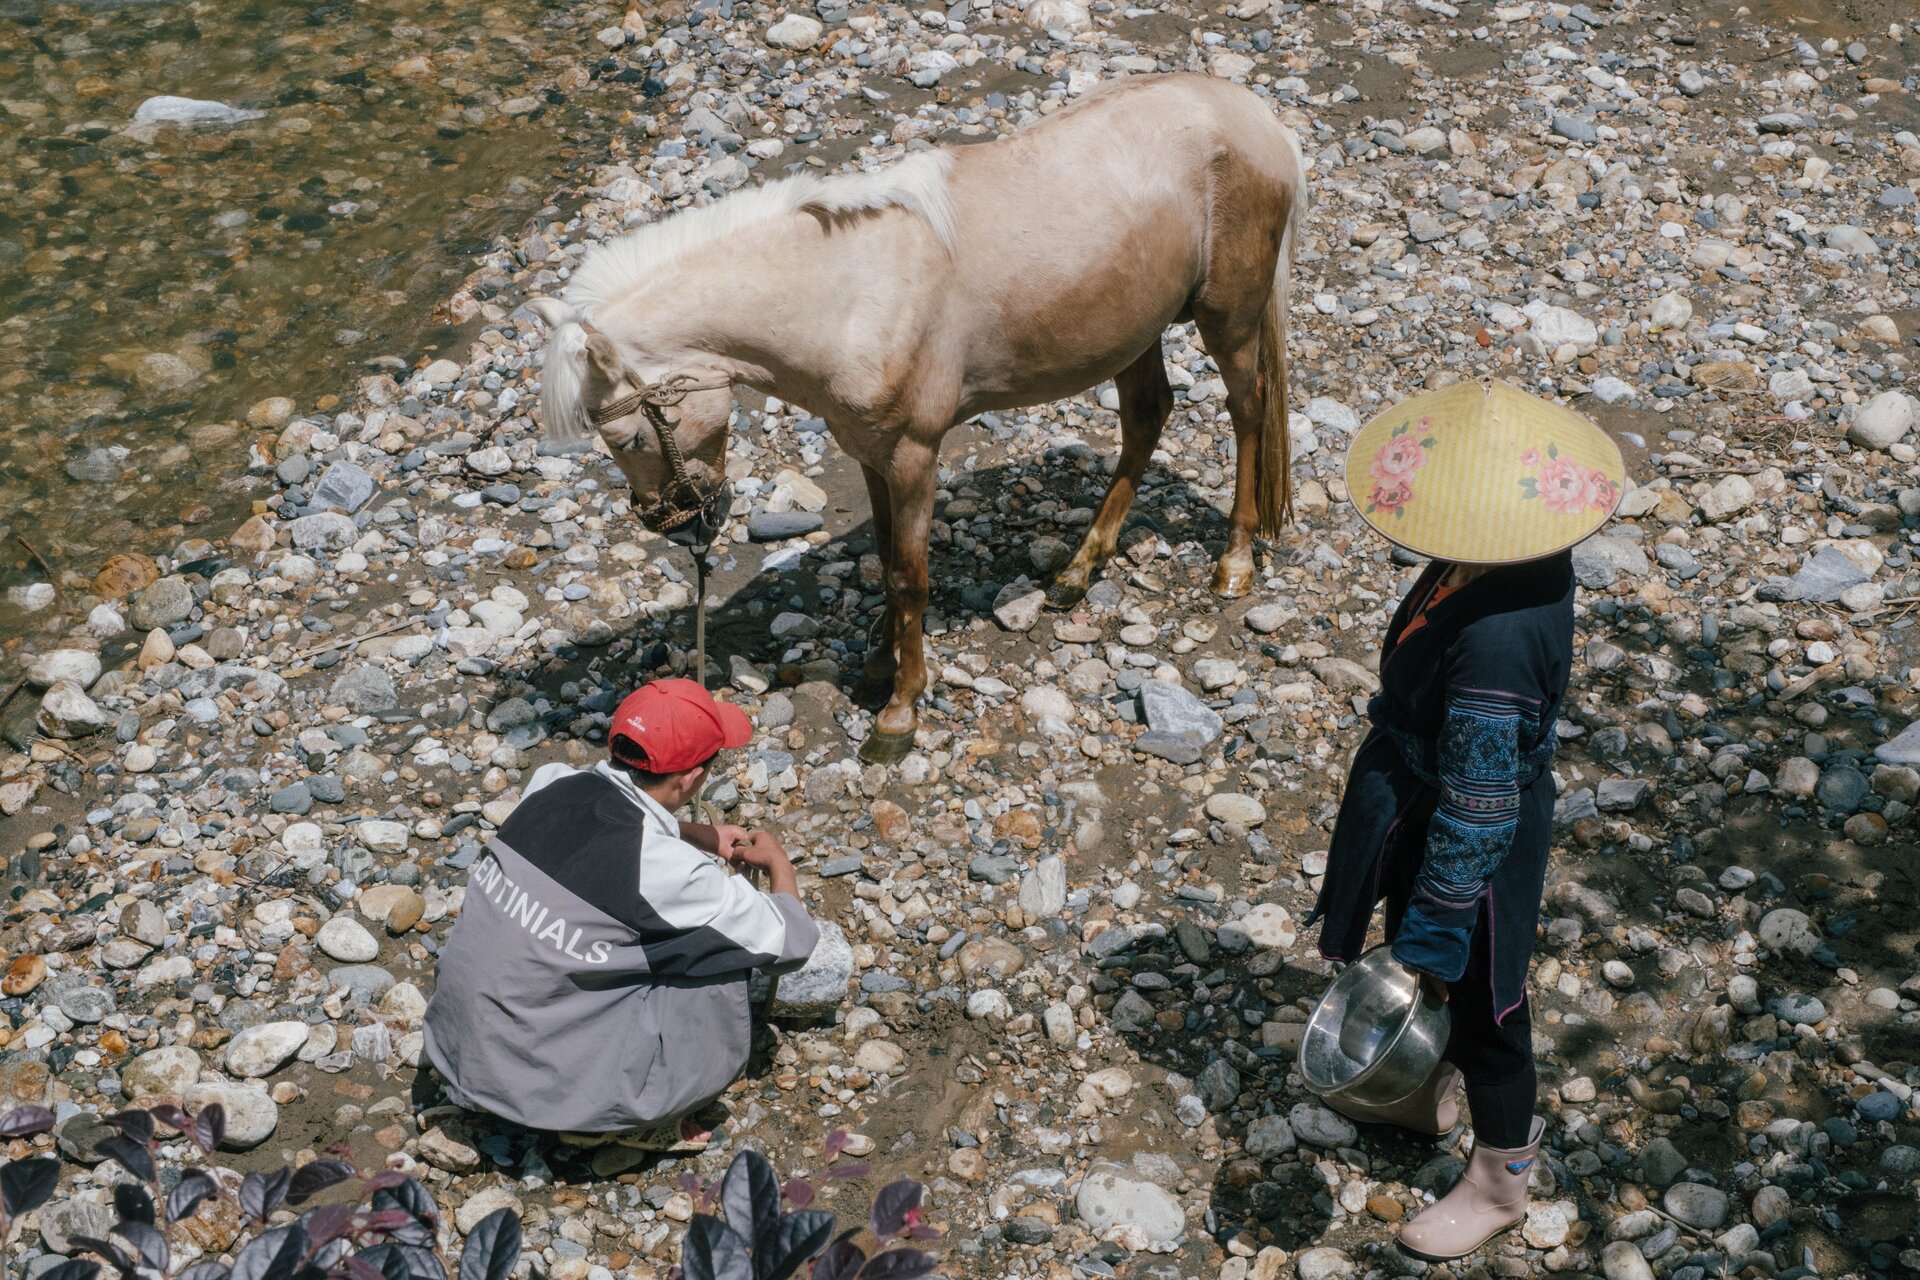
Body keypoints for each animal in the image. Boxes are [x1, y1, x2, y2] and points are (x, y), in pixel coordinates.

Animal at [529, 73, 1307, 763]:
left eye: (628, 435)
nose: (683, 527)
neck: (845, 293)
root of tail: (1256, 119)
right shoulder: (868, 451)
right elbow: (882, 555)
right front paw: (880, 660)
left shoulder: (912, 454)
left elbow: (909, 575)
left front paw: (899, 709)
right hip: (1135, 331)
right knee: (1147, 418)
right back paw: (1079, 570)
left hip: (1229, 318)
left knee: (1247, 411)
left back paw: (1233, 563)